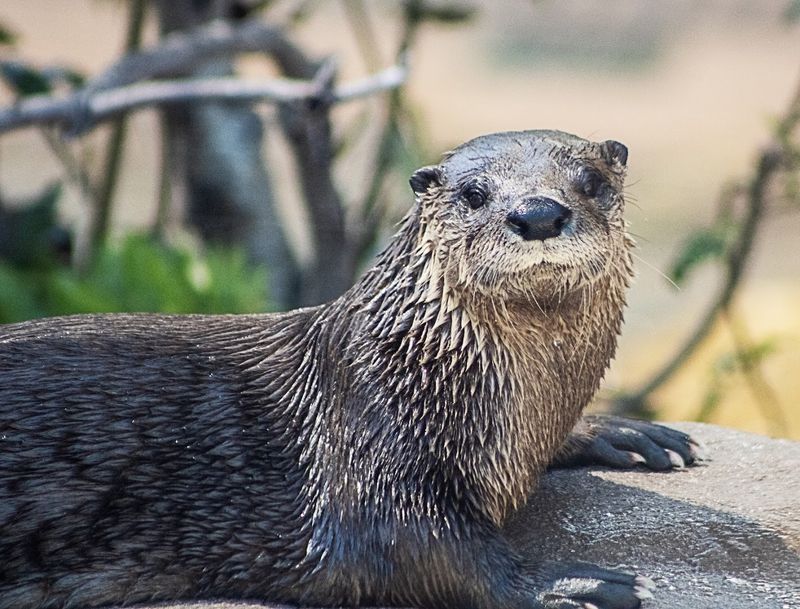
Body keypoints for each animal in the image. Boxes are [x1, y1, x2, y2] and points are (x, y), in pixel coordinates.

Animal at [0, 130, 697, 609]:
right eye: (473, 194)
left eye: (589, 180)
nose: (538, 213)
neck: (418, 367)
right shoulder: (366, 432)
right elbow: (408, 543)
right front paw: (563, 583)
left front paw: (616, 431)